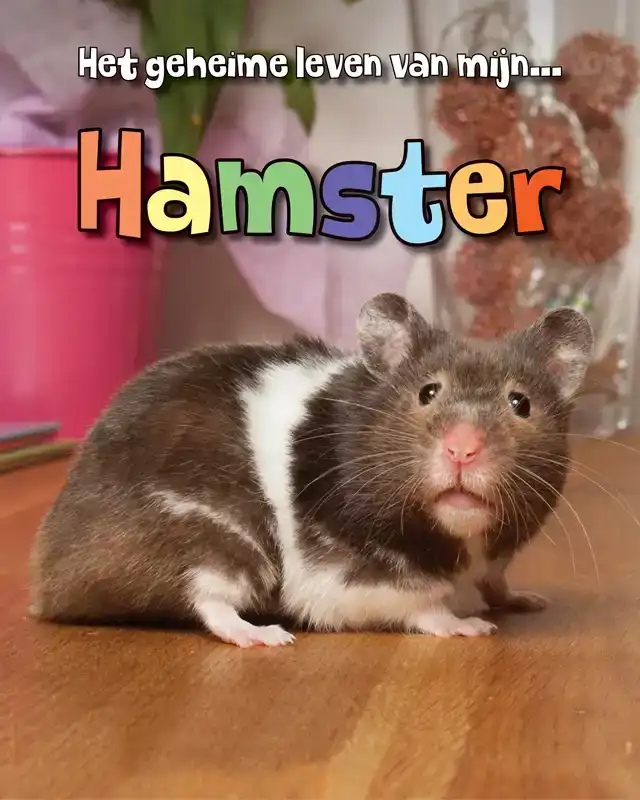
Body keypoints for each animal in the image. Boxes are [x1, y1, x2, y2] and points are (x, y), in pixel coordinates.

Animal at [29, 293, 593, 647]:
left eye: (520, 403)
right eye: (427, 392)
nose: (463, 450)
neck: (461, 542)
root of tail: (49, 582)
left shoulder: (493, 559)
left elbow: (497, 581)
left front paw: (527, 600)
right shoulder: (345, 581)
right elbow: (422, 605)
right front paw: (470, 627)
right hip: (216, 540)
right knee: (208, 601)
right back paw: (264, 638)